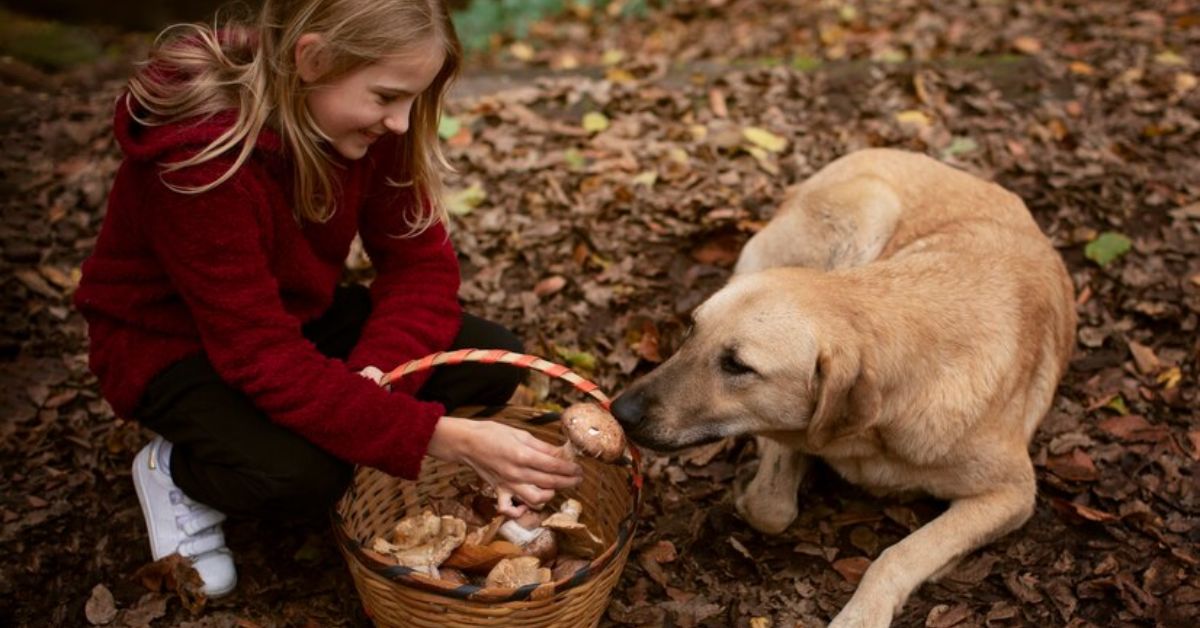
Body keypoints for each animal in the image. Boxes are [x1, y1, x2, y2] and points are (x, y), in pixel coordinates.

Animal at [614, 150, 1075, 624]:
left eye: (737, 365)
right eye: (692, 330)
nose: (620, 410)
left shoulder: (1013, 493)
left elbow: (901, 554)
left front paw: (862, 614)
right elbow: (770, 504)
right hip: (867, 213)